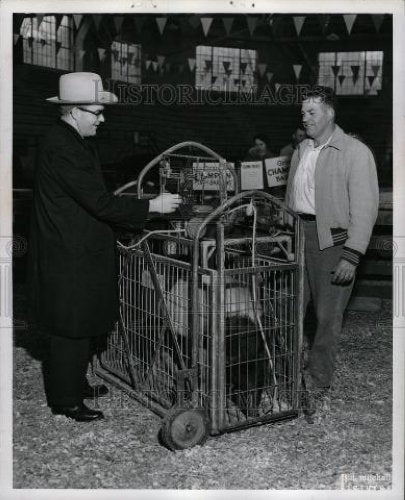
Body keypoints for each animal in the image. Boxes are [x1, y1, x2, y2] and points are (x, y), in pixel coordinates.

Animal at [94, 141, 304, 450]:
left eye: (264, 368)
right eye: (234, 366)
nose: (253, 412)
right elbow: (202, 377)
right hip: (139, 315)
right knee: (139, 345)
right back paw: (141, 380)